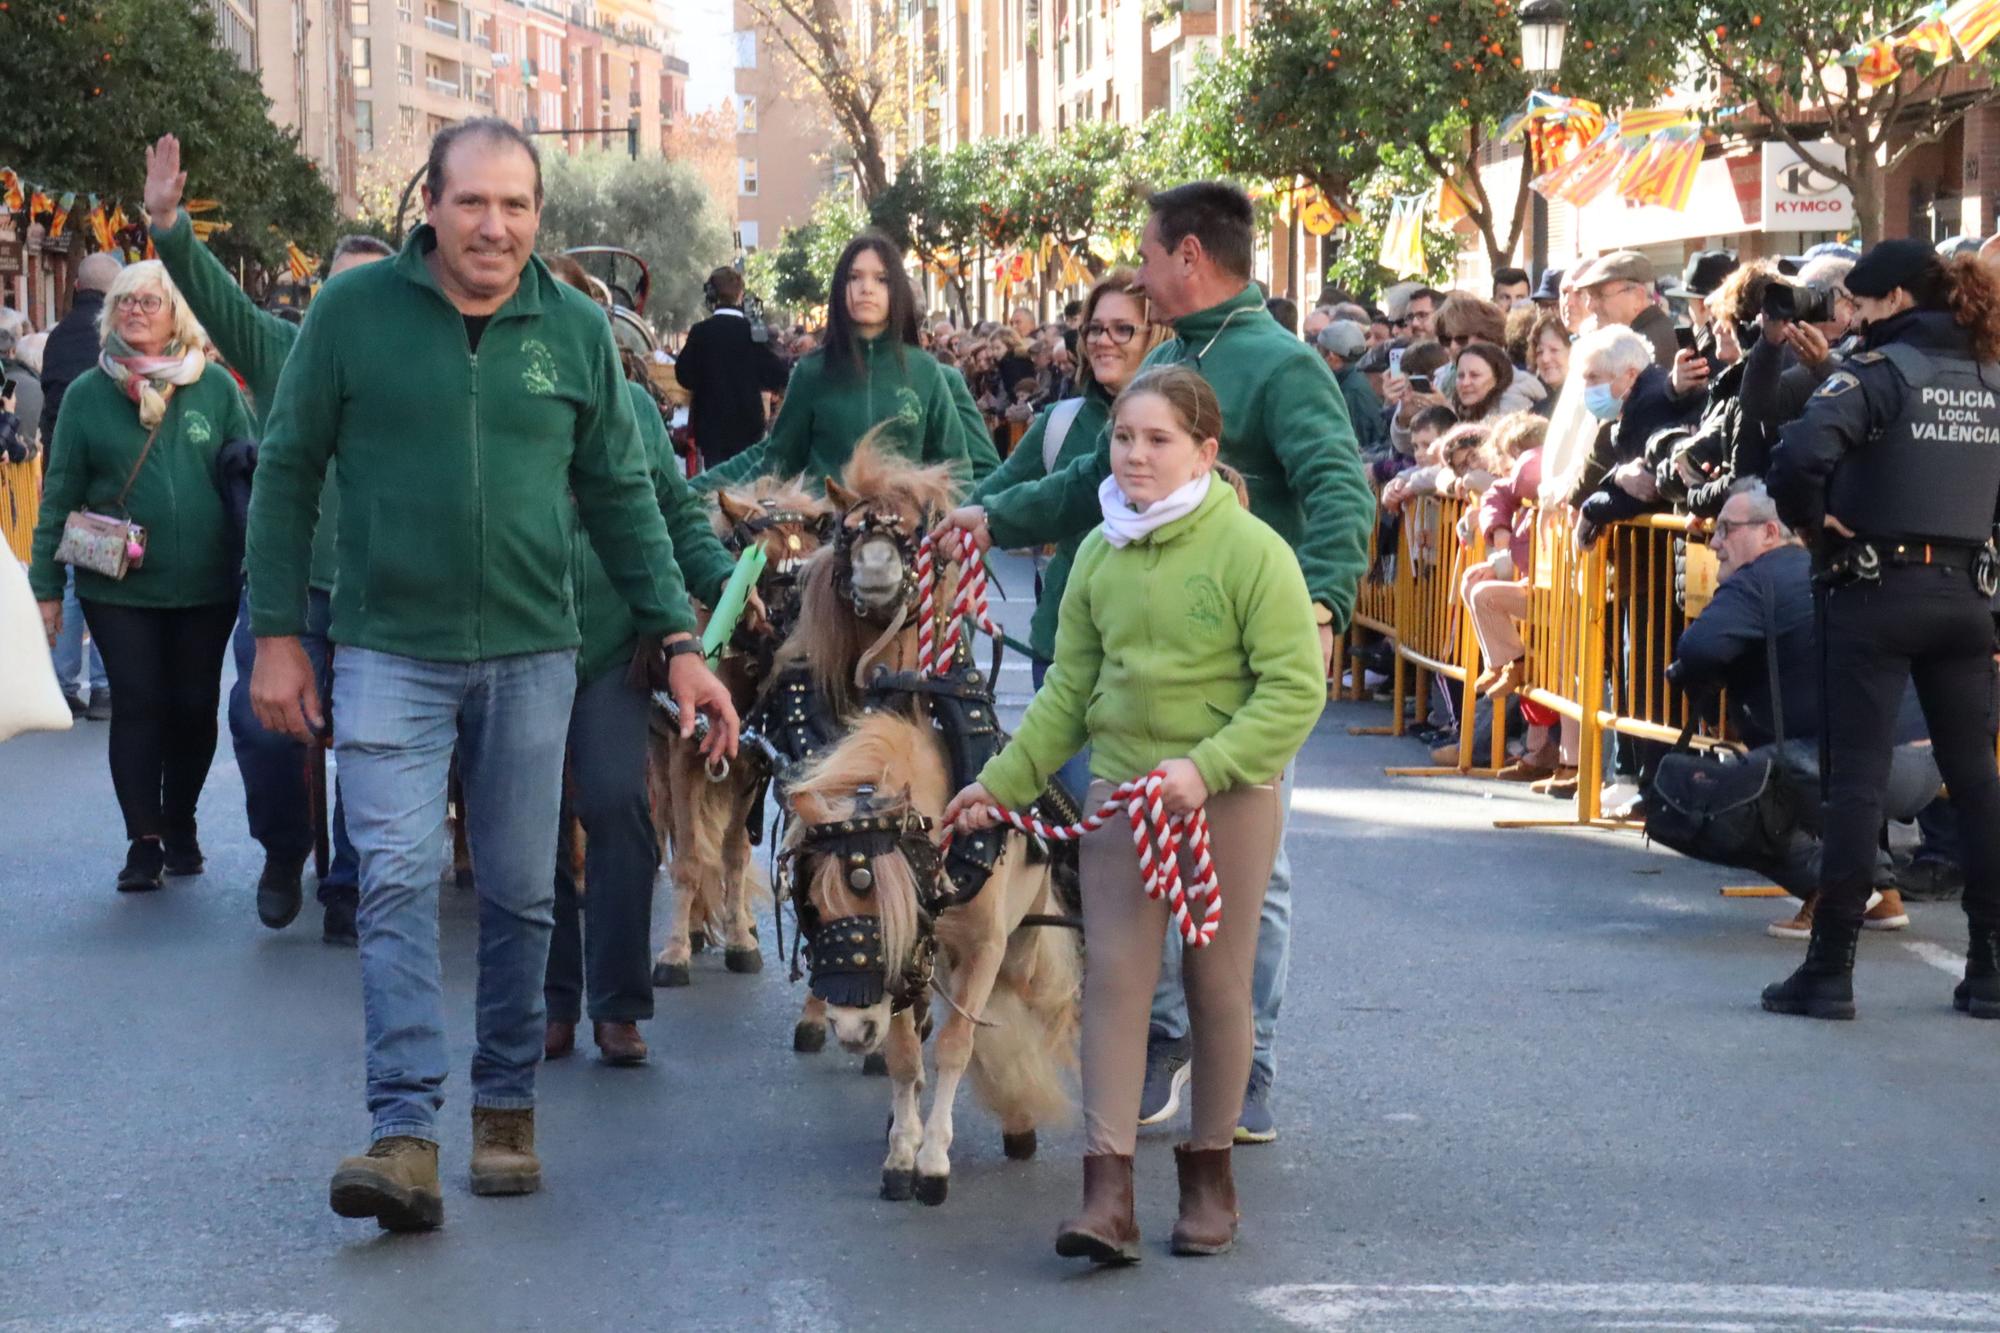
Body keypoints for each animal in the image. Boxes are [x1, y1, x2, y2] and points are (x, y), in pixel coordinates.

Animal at [644, 472, 824, 980]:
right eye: (764, 568)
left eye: (809, 569)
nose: (796, 641)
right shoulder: (685, 760)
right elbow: (689, 858)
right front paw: (674, 952)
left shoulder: (748, 771)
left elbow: (735, 855)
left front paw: (740, 939)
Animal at [788, 712, 1088, 1200]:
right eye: (814, 903)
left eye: (896, 904)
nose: (851, 1028)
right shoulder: (903, 971)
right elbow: (904, 1056)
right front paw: (903, 1150)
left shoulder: (984, 949)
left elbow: (955, 1046)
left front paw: (932, 1159)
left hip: (1020, 947)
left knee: (1015, 993)